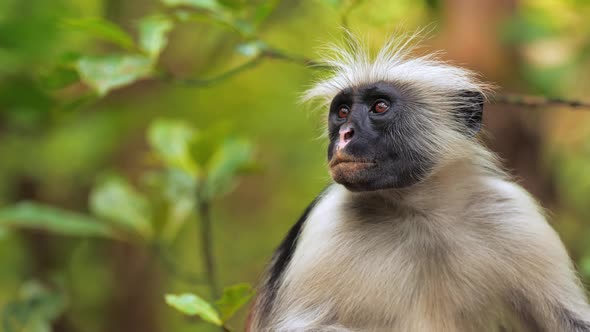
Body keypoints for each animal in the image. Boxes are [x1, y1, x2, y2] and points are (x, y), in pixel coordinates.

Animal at [247, 34, 590, 332]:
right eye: (342, 112)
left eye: (380, 106)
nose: (345, 134)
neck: (418, 210)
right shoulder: (325, 223)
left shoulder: (514, 214)